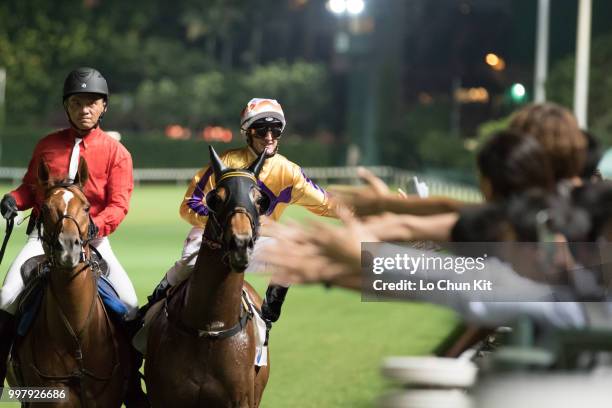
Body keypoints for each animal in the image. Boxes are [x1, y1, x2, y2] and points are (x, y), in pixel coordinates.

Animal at [146, 147, 270, 408]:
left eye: (260, 200)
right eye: (216, 199)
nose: (240, 244)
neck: (209, 328)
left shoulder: (241, 400)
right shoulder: (165, 397)